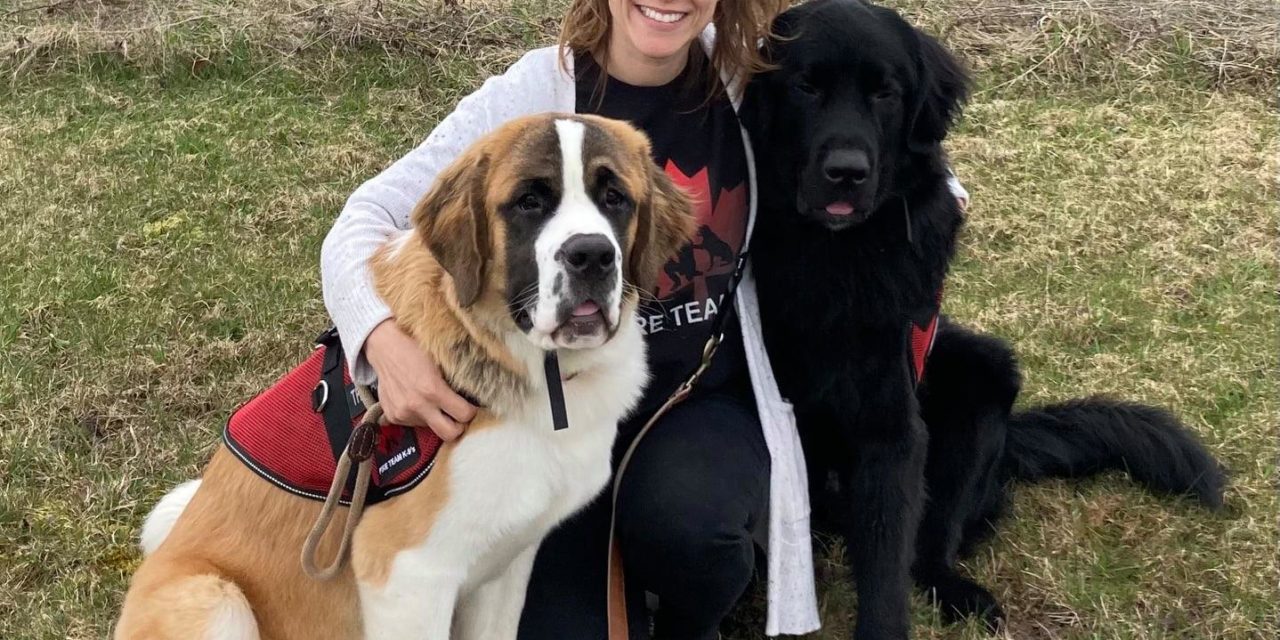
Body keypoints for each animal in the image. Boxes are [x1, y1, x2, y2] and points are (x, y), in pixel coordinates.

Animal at [747, 2, 1223, 637]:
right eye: (806, 87)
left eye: (885, 93)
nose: (847, 172)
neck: (835, 257)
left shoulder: (892, 427)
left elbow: (886, 565)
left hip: (981, 379)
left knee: (931, 544)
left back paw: (958, 591)